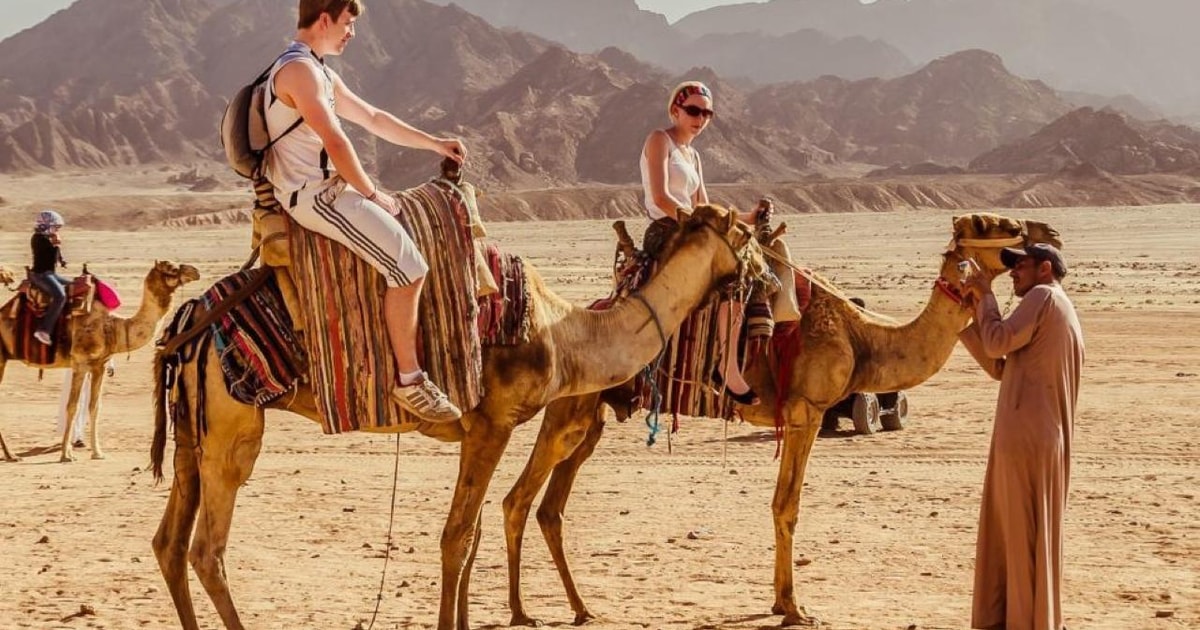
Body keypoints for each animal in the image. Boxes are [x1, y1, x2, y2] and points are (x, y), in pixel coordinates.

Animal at [0, 260, 200, 463]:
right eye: (172, 269)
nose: (195, 272)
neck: (112, 327)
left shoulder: (99, 365)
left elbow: (95, 407)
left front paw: (97, 452)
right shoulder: (80, 363)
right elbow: (72, 406)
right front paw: (66, 455)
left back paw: (11, 455)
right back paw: (11, 455)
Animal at [148, 203, 766, 630]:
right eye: (748, 236)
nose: (766, 274)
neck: (564, 335)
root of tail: (187, 319)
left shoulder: (480, 428)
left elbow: (470, 534)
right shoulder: (493, 422)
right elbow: (456, 535)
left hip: (191, 435)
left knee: (168, 543)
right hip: (232, 425)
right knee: (207, 550)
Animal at [497, 212, 1064, 627]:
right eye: (994, 225)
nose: (1051, 235)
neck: (863, 338)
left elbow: (783, 504)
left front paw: (779, 601)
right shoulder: (805, 411)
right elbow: (786, 505)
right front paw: (793, 607)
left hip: (589, 420)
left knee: (551, 508)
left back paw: (581, 608)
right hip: (569, 414)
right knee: (516, 499)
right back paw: (523, 612)